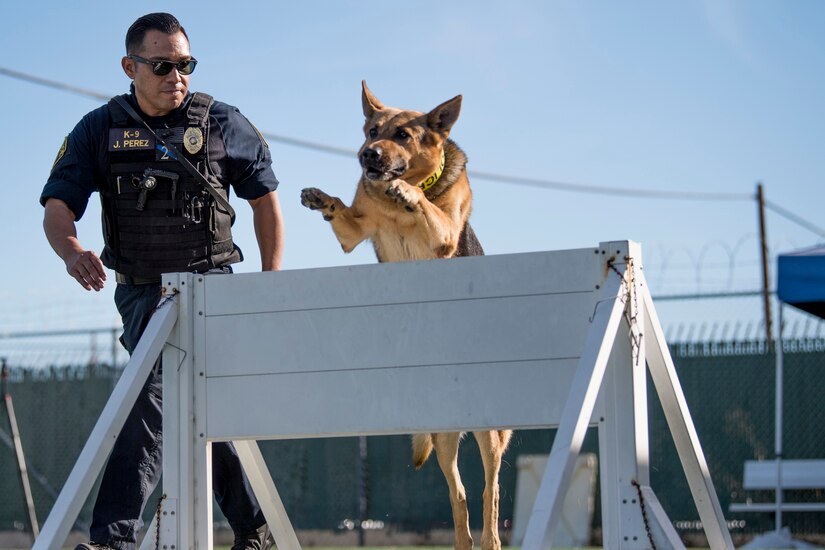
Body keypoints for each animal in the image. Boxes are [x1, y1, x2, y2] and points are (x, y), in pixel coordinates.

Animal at [300, 82, 512, 550]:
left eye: (402, 135)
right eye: (371, 130)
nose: (368, 156)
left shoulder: (445, 233)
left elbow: (429, 210)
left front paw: (411, 195)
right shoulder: (354, 233)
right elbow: (343, 211)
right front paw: (322, 198)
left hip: (488, 435)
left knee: (489, 491)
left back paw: (490, 536)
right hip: (442, 436)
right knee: (459, 493)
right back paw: (463, 539)